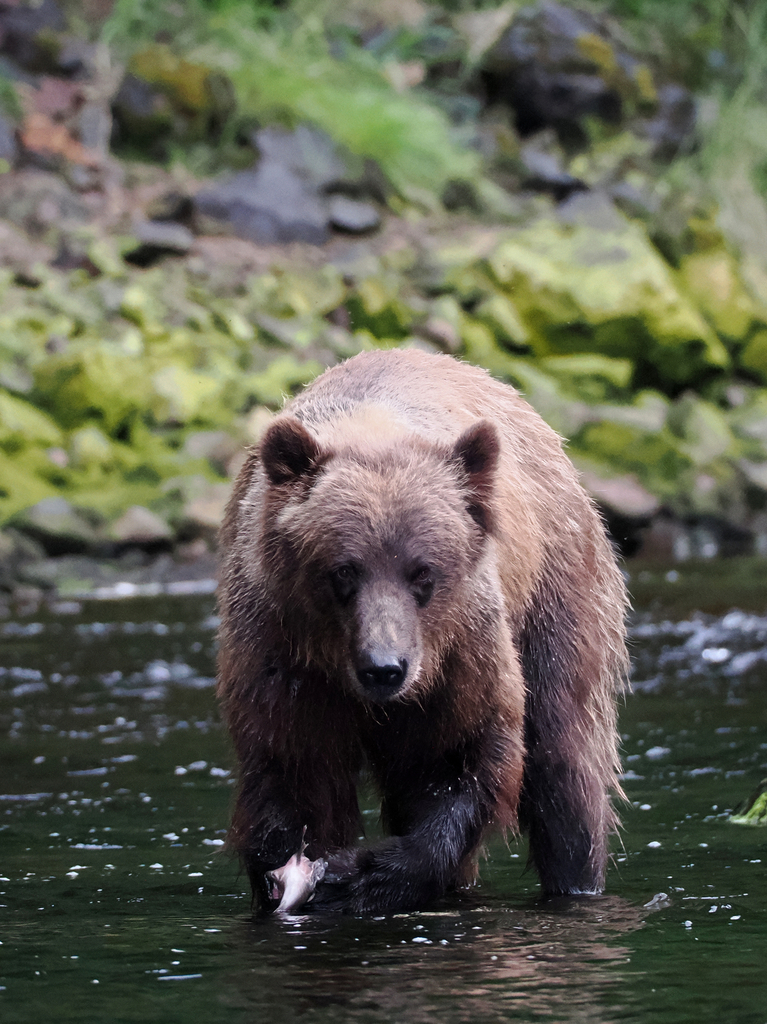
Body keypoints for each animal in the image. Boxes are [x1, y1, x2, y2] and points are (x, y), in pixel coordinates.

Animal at [216, 348, 629, 914]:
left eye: (423, 573)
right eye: (343, 572)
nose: (384, 668)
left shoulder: (460, 647)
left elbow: (462, 756)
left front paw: (368, 874)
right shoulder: (280, 648)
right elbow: (294, 766)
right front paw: (289, 870)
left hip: (557, 589)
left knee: (564, 754)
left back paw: (575, 880)